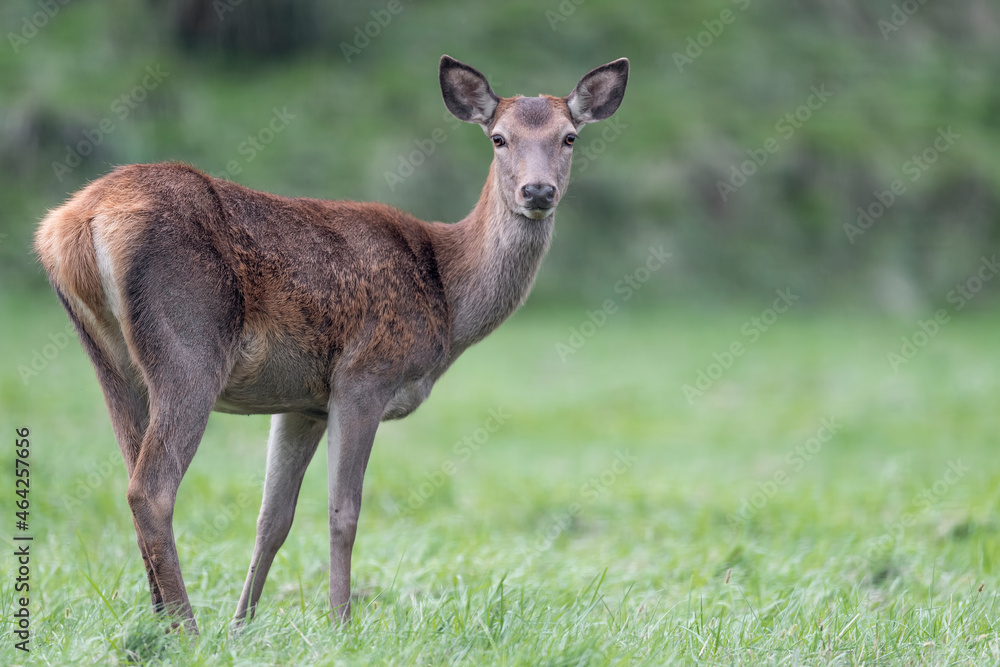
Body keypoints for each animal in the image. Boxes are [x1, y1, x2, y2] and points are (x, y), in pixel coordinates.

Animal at [35, 54, 628, 636]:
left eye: (569, 137)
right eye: (499, 138)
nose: (538, 191)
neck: (447, 296)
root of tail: (72, 224)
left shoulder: (302, 402)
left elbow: (272, 519)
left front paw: (242, 628)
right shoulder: (364, 375)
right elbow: (344, 511)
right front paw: (341, 624)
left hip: (112, 362)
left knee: (132, 475)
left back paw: (160, 624)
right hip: (190, 346)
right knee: (151, 489)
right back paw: (187, 628)